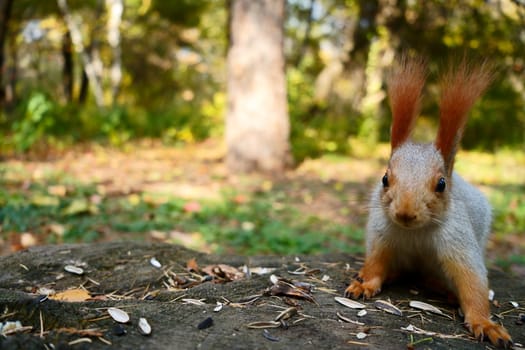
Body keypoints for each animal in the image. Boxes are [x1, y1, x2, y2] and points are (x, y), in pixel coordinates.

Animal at [344, 57, 512, 348]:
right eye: (385, 179)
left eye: (441, 184)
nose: (405, 213)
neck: (415, 232)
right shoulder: (381, 232)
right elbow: (376, 261)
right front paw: (365, 283)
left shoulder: (458, 240)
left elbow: (472, 279)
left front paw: (485, 323)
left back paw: (447, 291)